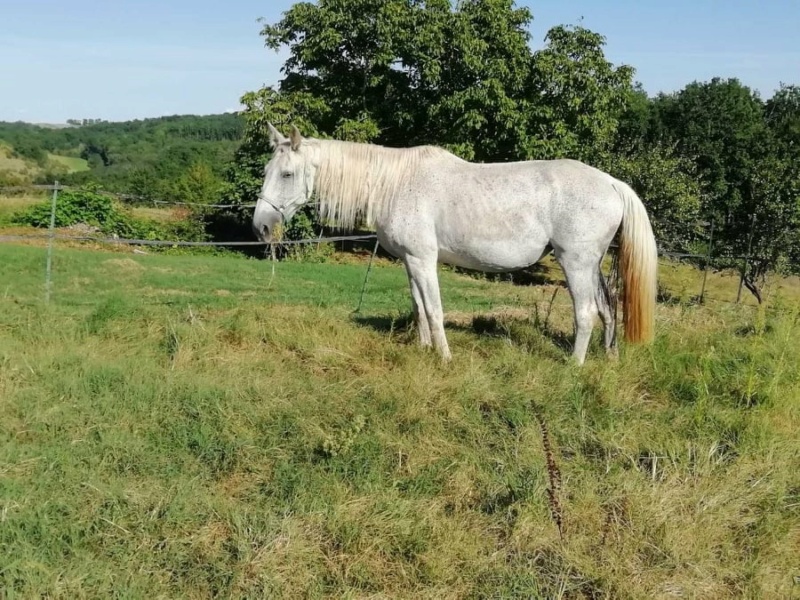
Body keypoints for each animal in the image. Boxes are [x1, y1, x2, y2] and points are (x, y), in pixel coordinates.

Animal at [253, 124, 660, 364]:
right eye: (267, 171)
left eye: (286, 174)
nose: (261, 226)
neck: (394, 183)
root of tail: (612, 183)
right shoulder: (410, 261)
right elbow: (418, 307)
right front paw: (423, 350)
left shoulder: (424, 259)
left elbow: (434, 310)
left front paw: (445, 358)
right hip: (592, 264)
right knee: (608, 309)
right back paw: (608, 359)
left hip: (574, 262)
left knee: (586, 312)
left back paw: (573, 366)